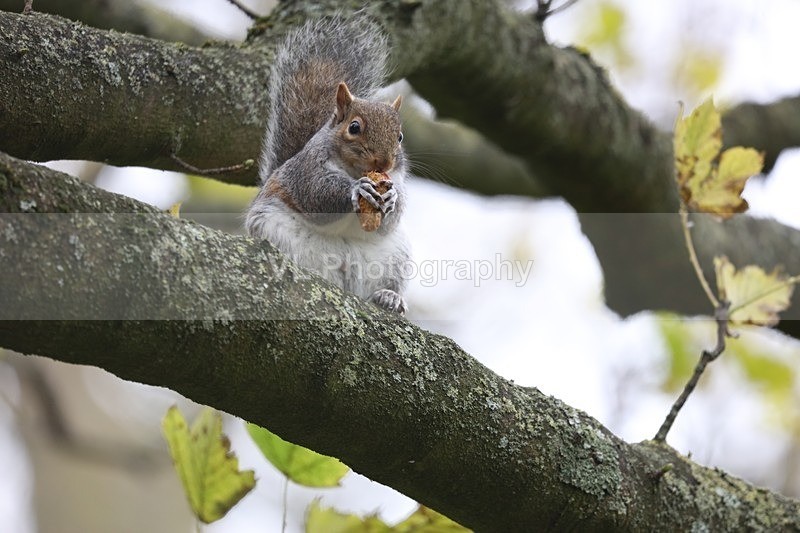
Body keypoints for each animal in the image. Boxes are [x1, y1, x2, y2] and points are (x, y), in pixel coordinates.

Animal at [245, 17, 410, 314]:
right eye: (354, 127)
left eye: (400, 137)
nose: (384, 161)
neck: (354, 169)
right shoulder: (306, 169)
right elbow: (316, 194)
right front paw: (357, 190)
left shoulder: (397, 178)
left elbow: (392, 217)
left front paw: (392, 198)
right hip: (271, 228)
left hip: (394, 258)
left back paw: (389, 297)